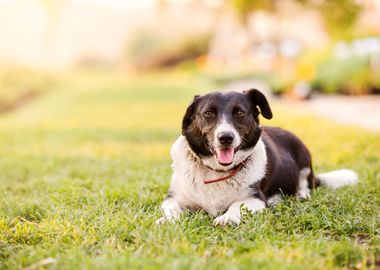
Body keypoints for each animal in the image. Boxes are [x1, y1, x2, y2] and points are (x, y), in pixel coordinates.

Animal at [156, 88, 358, 226]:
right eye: (208, 113)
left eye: (239, 112)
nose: (226, 137)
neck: (217, 172)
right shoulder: (173, 197)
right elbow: (172, 209)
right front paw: (167, 220)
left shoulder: (255, 199)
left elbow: (237, 205)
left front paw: (227, 218)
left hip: (303, 156)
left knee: (304, 182)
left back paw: (301, 194)